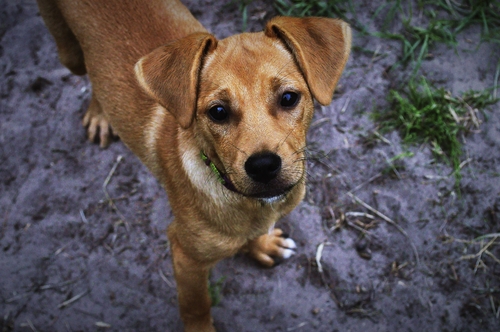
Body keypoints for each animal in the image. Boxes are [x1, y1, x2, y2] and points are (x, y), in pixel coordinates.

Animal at [36, 0, 352, 330]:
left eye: (289, 97)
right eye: (218, 112)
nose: (263, 166)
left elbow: (253, 234)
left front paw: (263, 245)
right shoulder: (185, 257)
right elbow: (197, 306)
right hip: (68, 53)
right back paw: (99, 114)